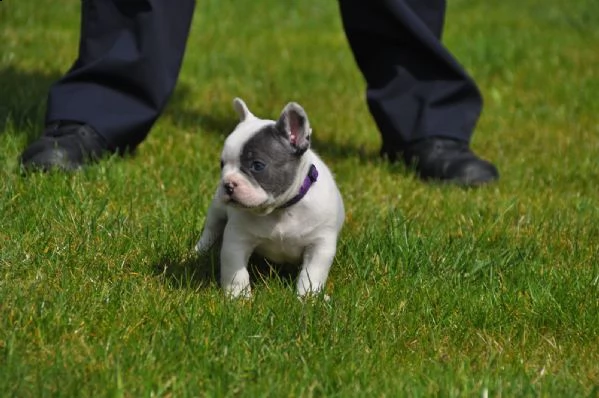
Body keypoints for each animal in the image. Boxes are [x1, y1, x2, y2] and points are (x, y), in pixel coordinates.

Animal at [196, 98, 344, 296]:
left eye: (257, 165)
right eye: (222, 164)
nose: (227, 184)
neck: (281, 209)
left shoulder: (319, 245)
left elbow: (312, 274)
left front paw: (308, 297)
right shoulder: (237, 239)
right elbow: (236, 271)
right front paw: (238, 297)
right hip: (217, 210)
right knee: (211, 230)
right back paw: (199, 250)